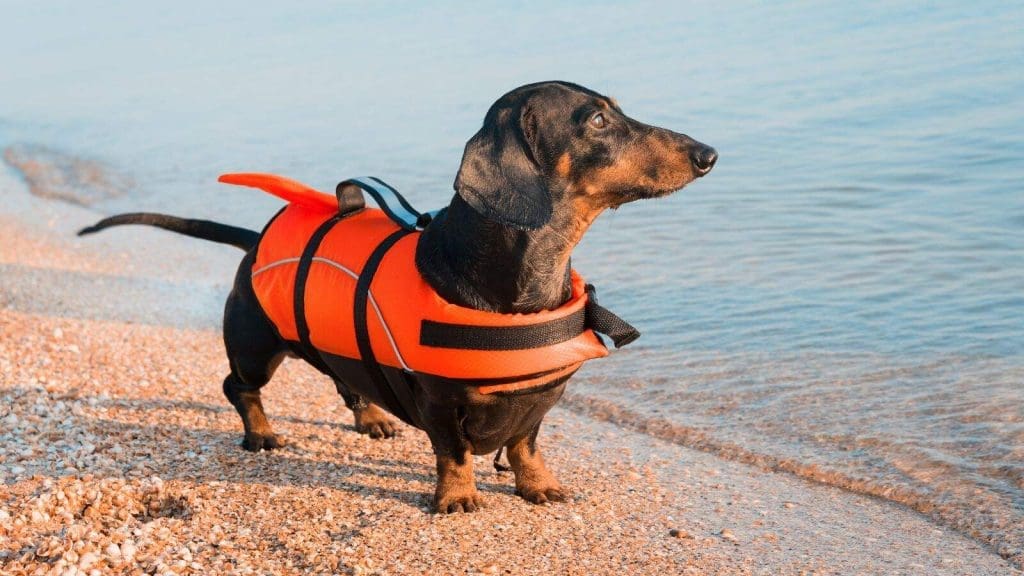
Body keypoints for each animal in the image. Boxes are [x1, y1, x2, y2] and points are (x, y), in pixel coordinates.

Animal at [79, 80, 716, 510]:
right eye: (598, 120)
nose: (708, 154)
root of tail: (255, 239)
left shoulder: (541, 397)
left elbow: (526, 444)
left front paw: (538, 486)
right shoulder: (437, 399)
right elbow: (453, 451)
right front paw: (456, 498)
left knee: (346, 378)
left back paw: (371, 417)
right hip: (255, 346)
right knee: (238, 386)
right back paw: (260, 434)